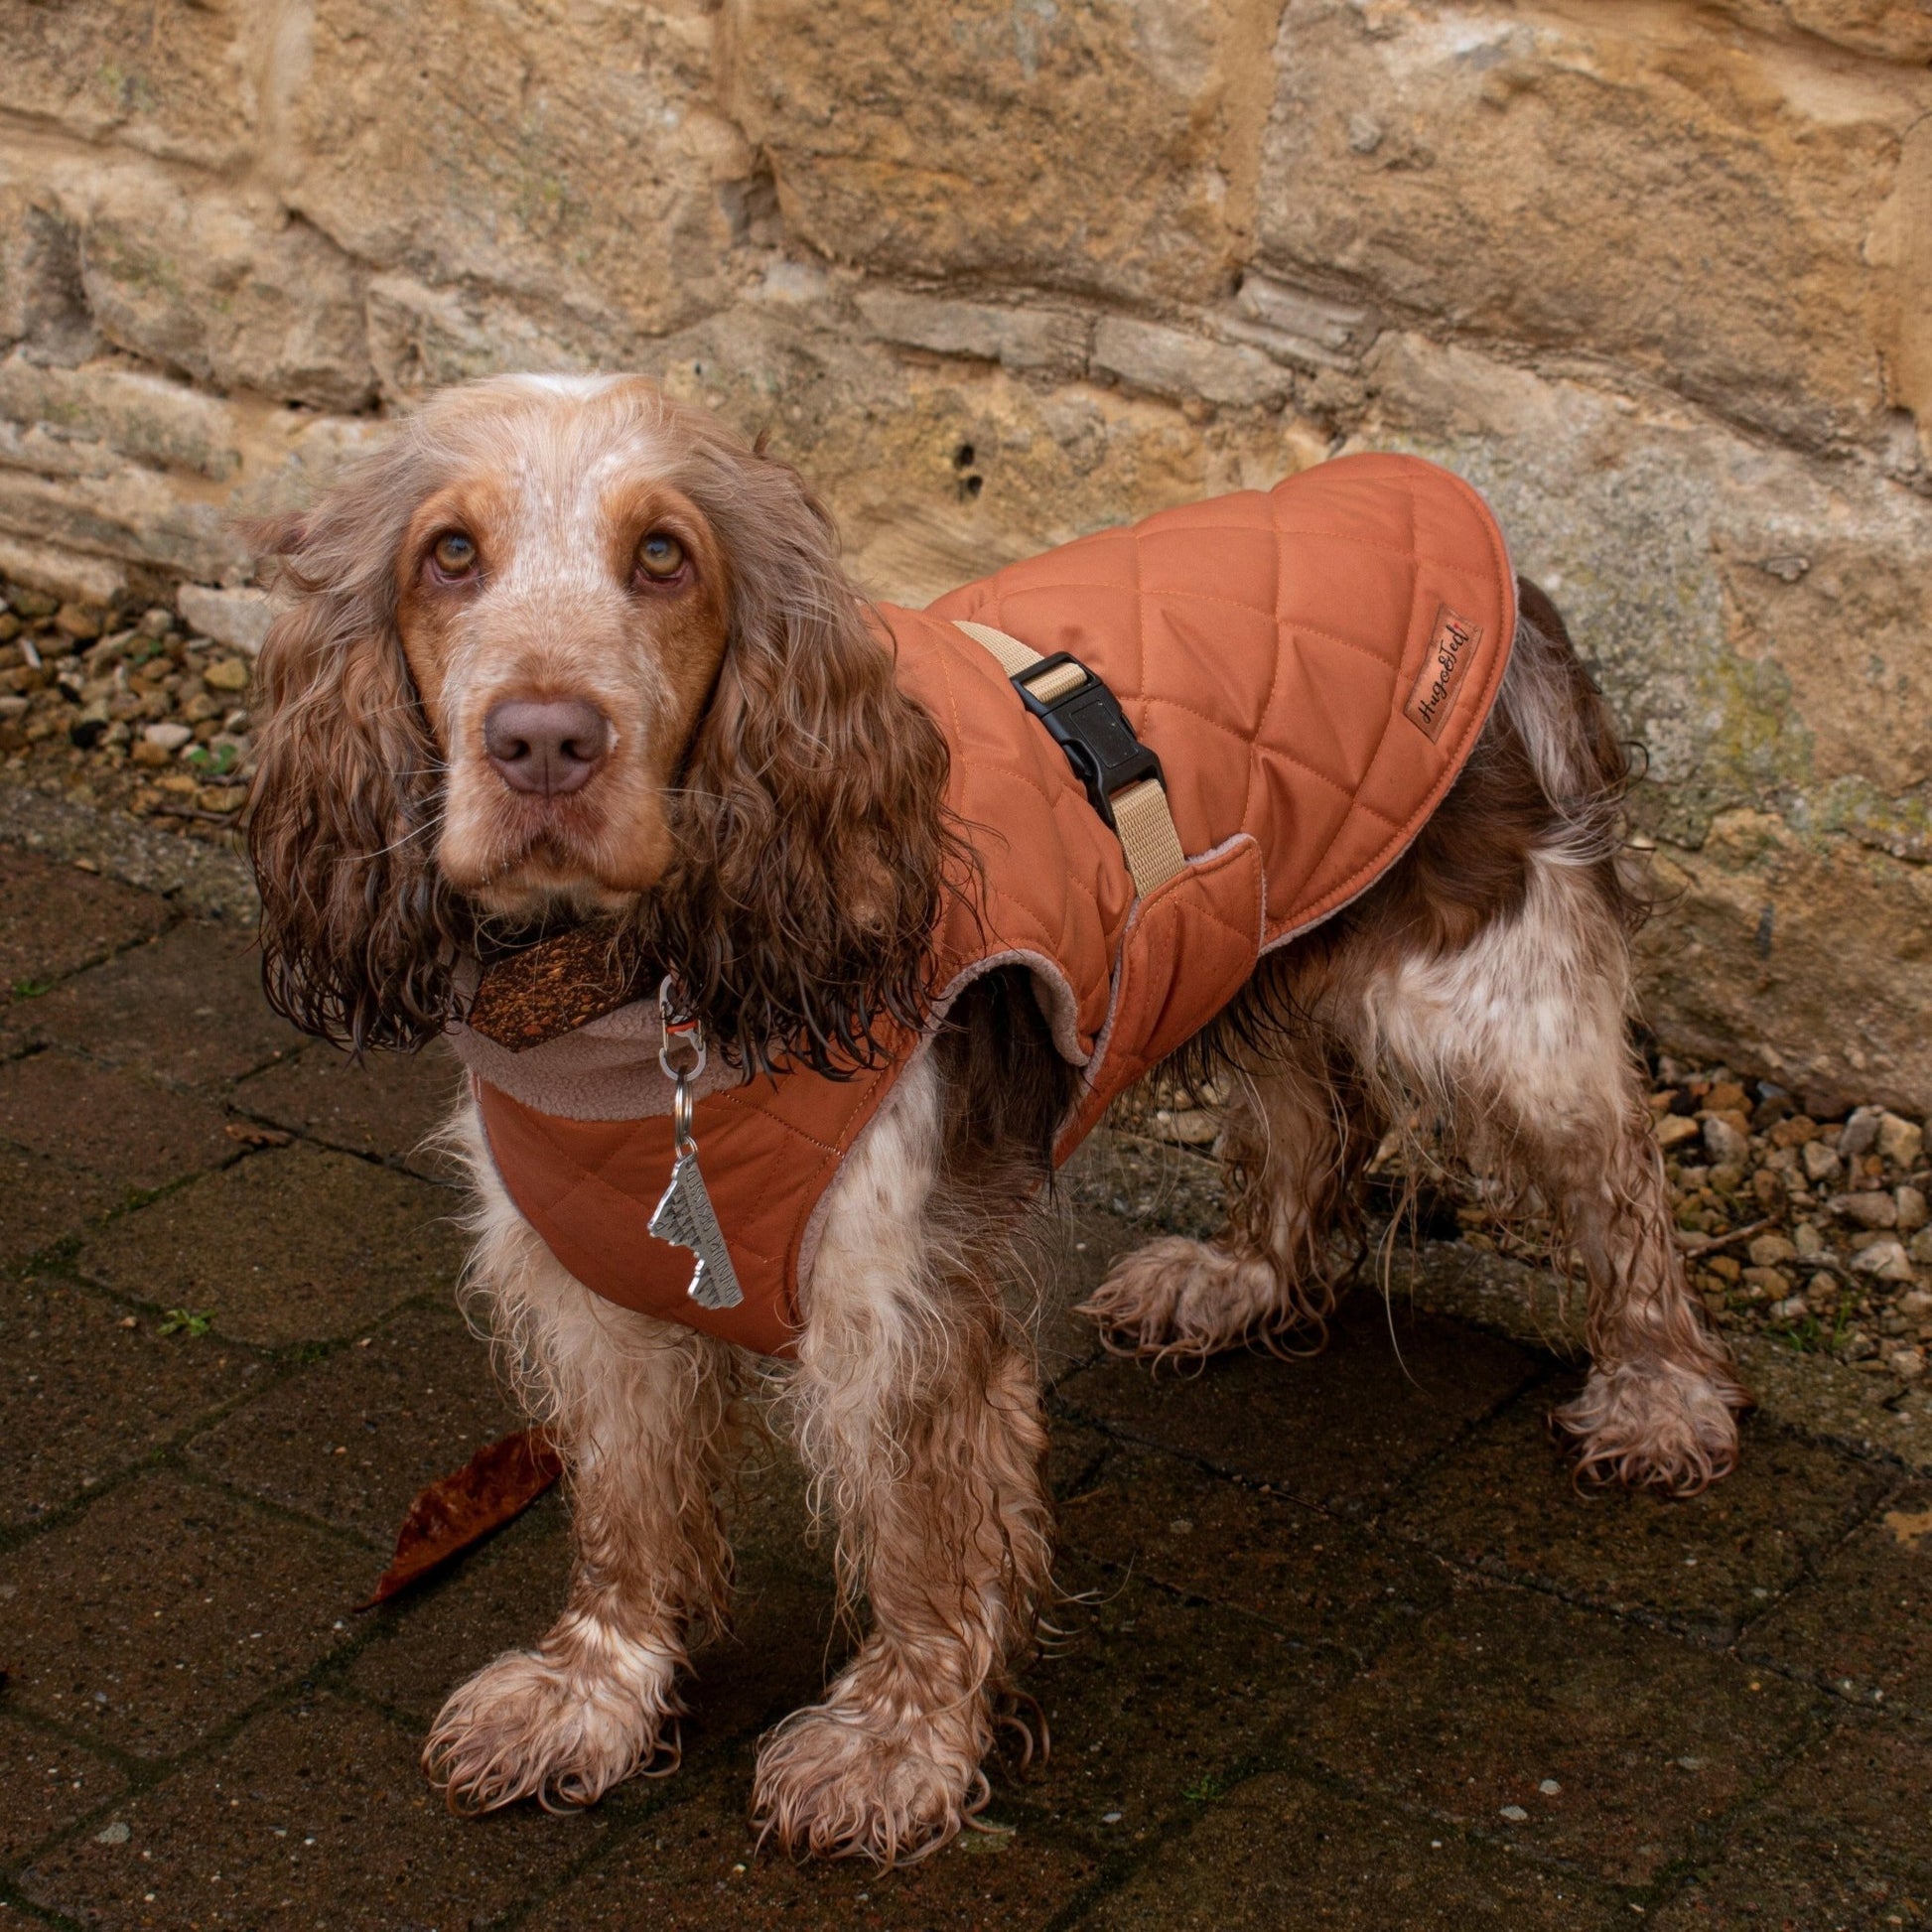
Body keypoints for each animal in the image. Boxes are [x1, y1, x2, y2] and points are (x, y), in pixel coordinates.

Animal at [245, 368, 1753, 1862]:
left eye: (663, 555)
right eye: (450, 553)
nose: (544, 742)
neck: (636, 998)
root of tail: (1455, 502)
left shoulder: (894, 1294)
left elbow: (920, 1540)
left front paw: (891, 1749)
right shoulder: (588, 1272)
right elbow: (623, 1510)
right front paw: (588, 1698)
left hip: (1493, 985)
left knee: (1618, 1180)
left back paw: (1658, 1396)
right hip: (1251, 921)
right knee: (1312, 1112)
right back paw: (1235, 1278)